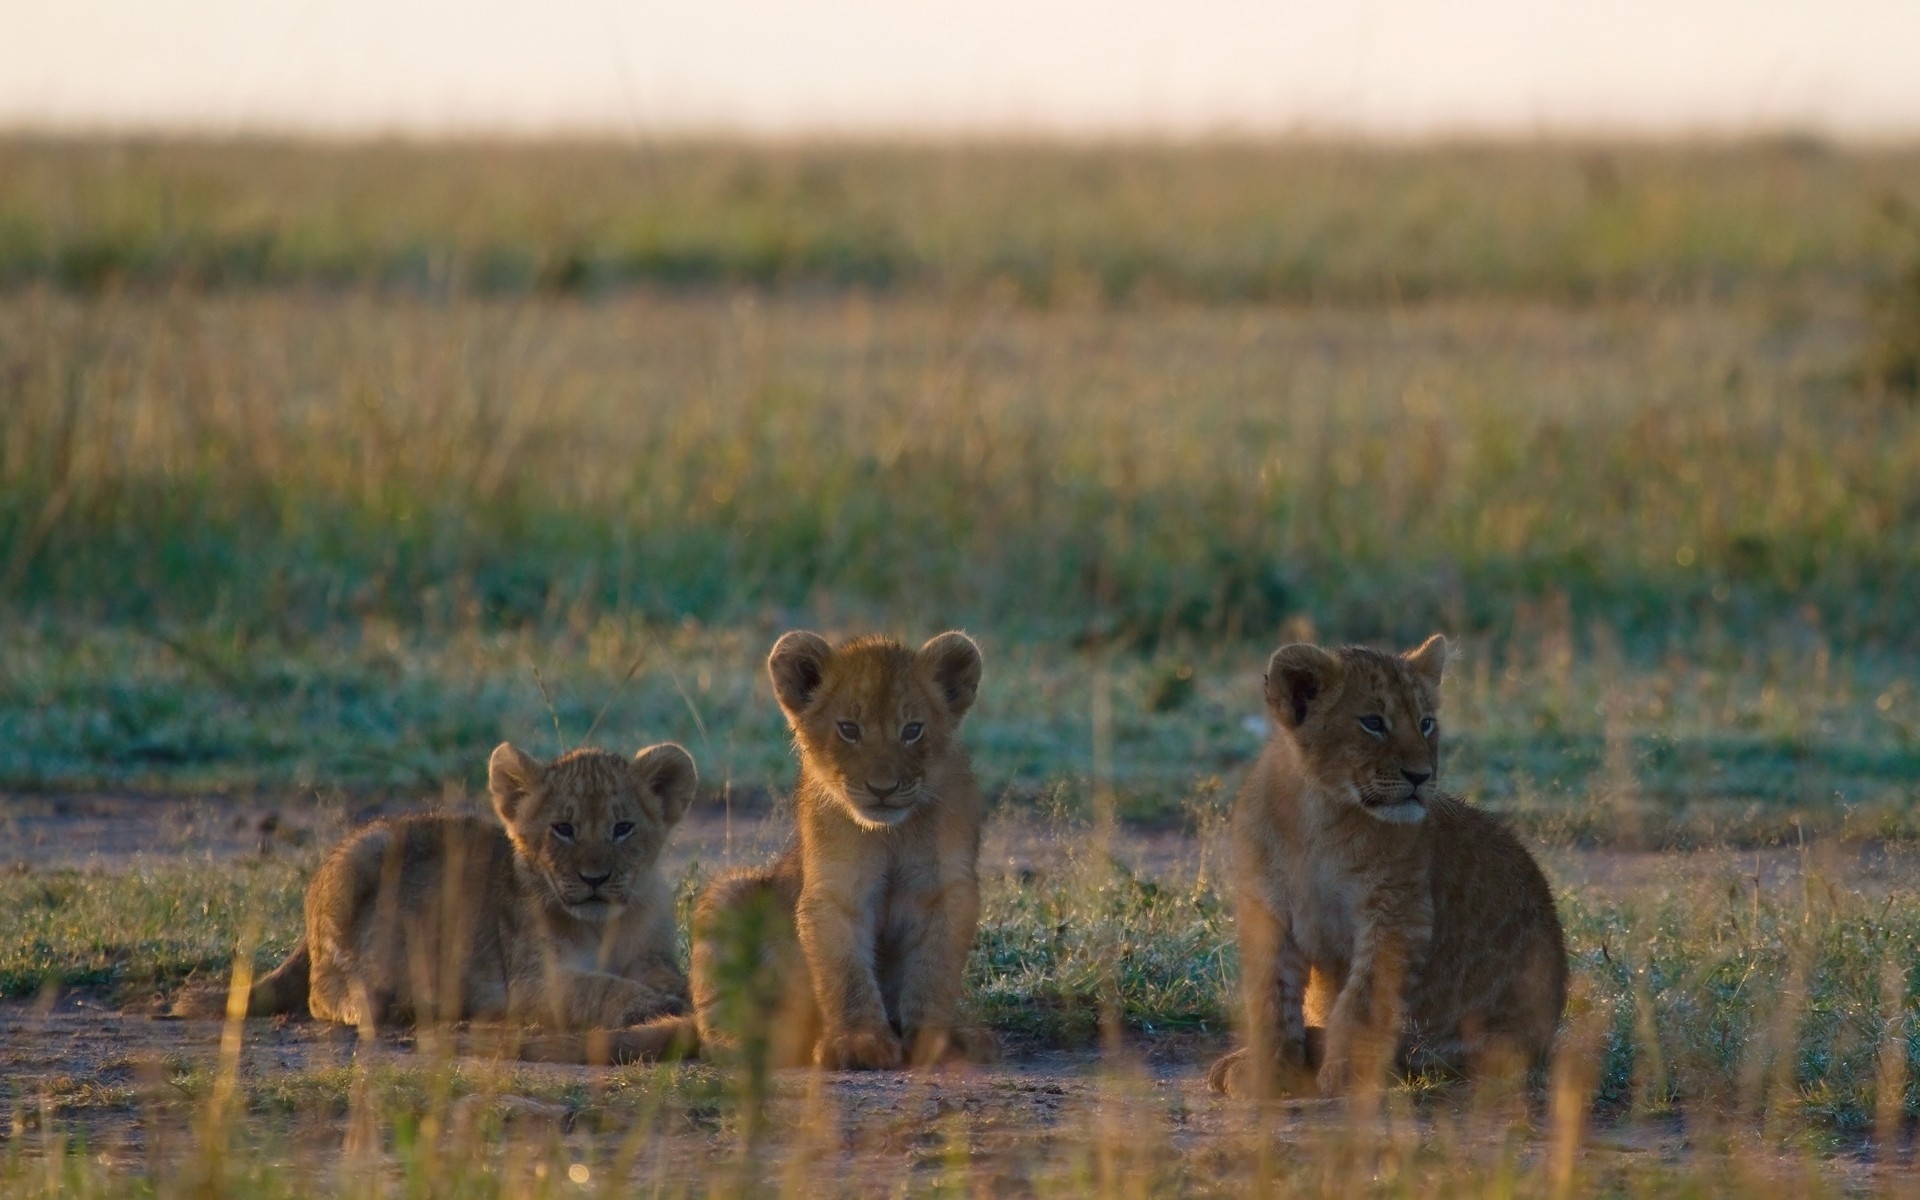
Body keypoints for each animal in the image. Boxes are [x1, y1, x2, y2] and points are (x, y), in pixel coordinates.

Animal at [174, 743, 698, 1036]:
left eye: (623, 828)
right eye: (563, 829)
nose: (594, 879)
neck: (601, 926)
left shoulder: (651, 955)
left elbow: (664, 976)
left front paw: (677, 994)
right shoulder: (531, 982)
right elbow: (598, 987)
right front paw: (651, 1006)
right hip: (364, 853)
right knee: (319, 992)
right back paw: (378, 1003)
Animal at [1206, 635, 1567, 1099]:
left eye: (1426, 723)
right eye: (1373, 722)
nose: (1421, 775)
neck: (1319, 815)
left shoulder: (1398, 912)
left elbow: (1363, 999)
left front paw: (1348, 1072)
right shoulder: (1269, 910)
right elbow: (1271, 996)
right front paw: (1268, 1071)